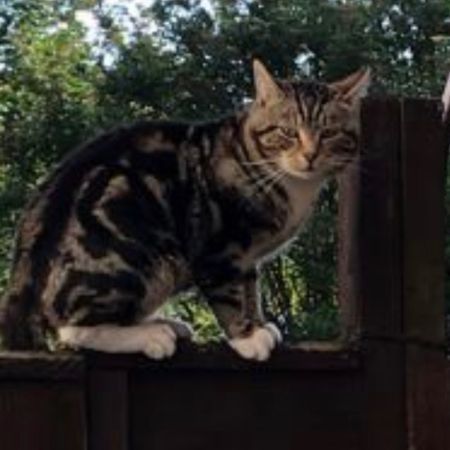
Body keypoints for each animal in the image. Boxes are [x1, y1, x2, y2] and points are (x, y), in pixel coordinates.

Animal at [0, 59, 370, 361]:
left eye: (329, 133)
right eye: (287, 132)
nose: (309, 155)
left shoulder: (247, 255)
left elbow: (251, 288)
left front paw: (259, 324)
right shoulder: (220, 245)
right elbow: (231, 293)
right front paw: (247, 337)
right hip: (131, 253)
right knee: (73, 328)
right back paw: (151, 335)